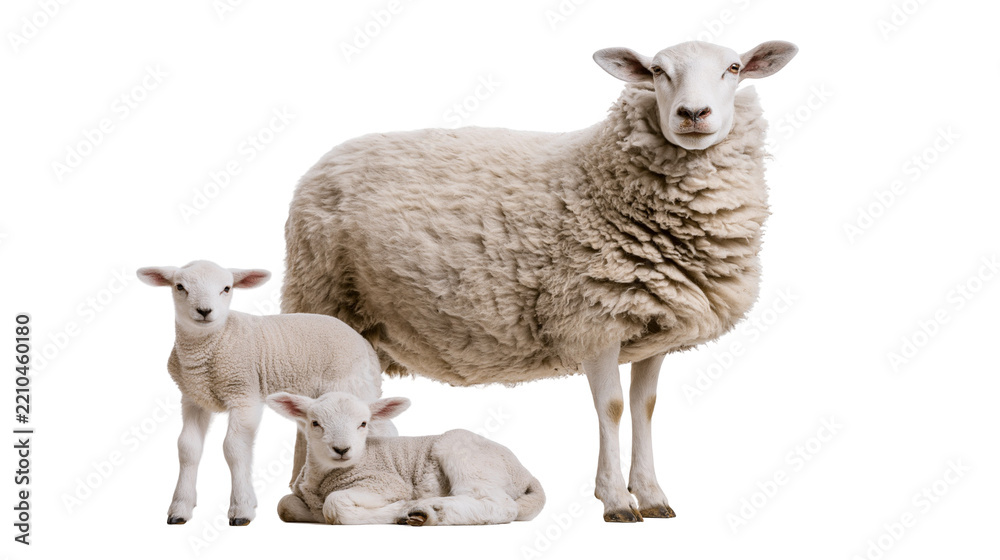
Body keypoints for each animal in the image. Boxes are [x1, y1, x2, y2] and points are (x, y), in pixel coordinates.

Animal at [137, 260, 395, 526]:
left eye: (227, 288)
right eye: (180, 286)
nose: (204, 311)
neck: (214, 342)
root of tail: (366, 345)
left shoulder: (244, 394)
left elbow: (234, 448)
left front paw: (241, 509)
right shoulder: (192, 398)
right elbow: (187, 448)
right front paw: (180, 508)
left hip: (352, 385)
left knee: (383, 427)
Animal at [265, 390, 545, 525]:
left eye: (363, 424)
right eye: (315, 423)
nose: (342, 449)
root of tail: (526, 473)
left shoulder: (385, 482)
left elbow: (334, 506)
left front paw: (398, 510)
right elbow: (284, 505)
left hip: (465, 455)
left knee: (501, 506)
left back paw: (431, 511)